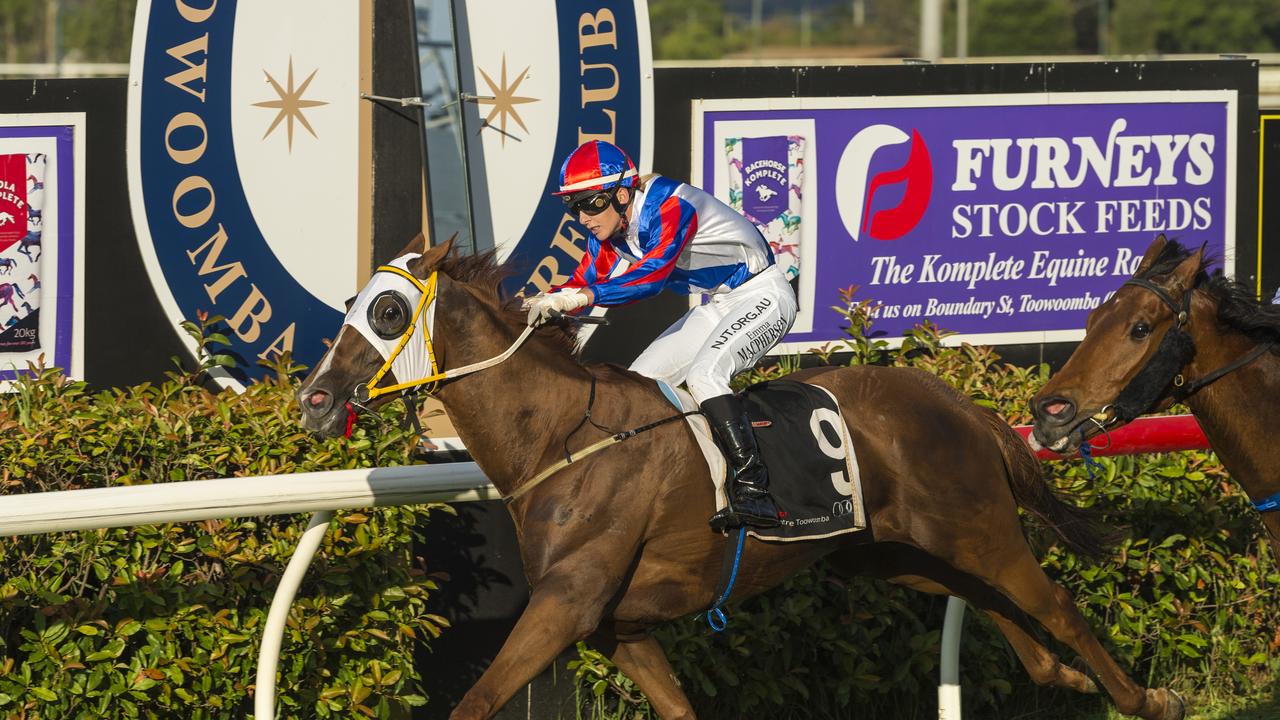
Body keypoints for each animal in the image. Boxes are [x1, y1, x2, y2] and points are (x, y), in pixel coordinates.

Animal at [294, 233, 1182, 712]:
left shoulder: (568, 605)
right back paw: (1059, 674)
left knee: (1052, 601)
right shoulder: (620, 625)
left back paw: (1143, 698)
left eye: (387, 312)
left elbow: (478, 699)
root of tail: (956, 400)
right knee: (983, 596)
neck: (560, 438)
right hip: (892, 550)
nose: (313, 399)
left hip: (978, 525)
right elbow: (677, 706)